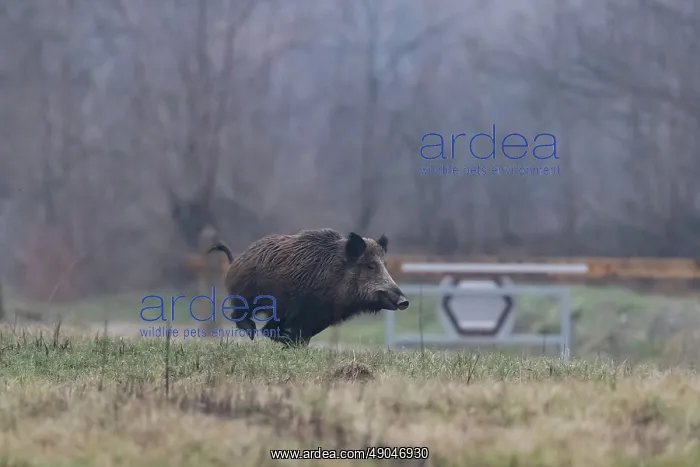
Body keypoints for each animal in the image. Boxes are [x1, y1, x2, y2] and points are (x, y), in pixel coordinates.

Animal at [207, 228, 409, 346]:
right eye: (370, 266)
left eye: (384, 264)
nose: (404, 302)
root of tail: (234, 262)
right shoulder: (299, 310)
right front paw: (290, 343)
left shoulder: (320, 317)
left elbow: (305, 337)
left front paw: (294, 345)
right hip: (247, 298)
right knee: (242, 317)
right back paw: (252, 334)